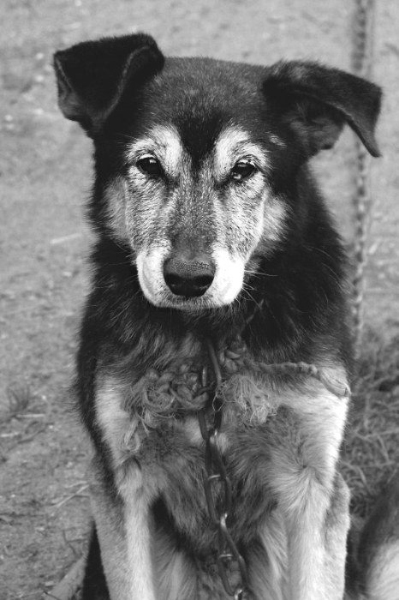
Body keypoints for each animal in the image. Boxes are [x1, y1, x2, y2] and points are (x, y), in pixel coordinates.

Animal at [51, 34, 392, 600]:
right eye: (147, 165)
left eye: (244, 170)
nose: (188, 279)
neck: (209, 341)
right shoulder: (121, 483)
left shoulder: (316, 485)